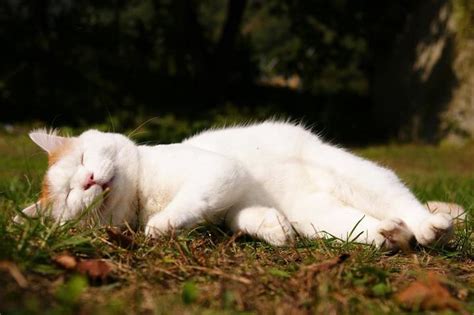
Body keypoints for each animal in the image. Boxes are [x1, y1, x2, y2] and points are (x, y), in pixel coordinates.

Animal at [17, 122, 456, 251]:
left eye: (82, 160)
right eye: (71, 196)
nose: (89, 180)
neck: (142, 193)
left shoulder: (218, 170)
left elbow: (190, 200)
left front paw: (159, 226)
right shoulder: (228, 208)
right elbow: (244, 218)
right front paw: (276, 230)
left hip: (357, 176)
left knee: (403, 200)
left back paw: (428, 227)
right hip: (323, 218)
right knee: (372, 227)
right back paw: (391, 233)